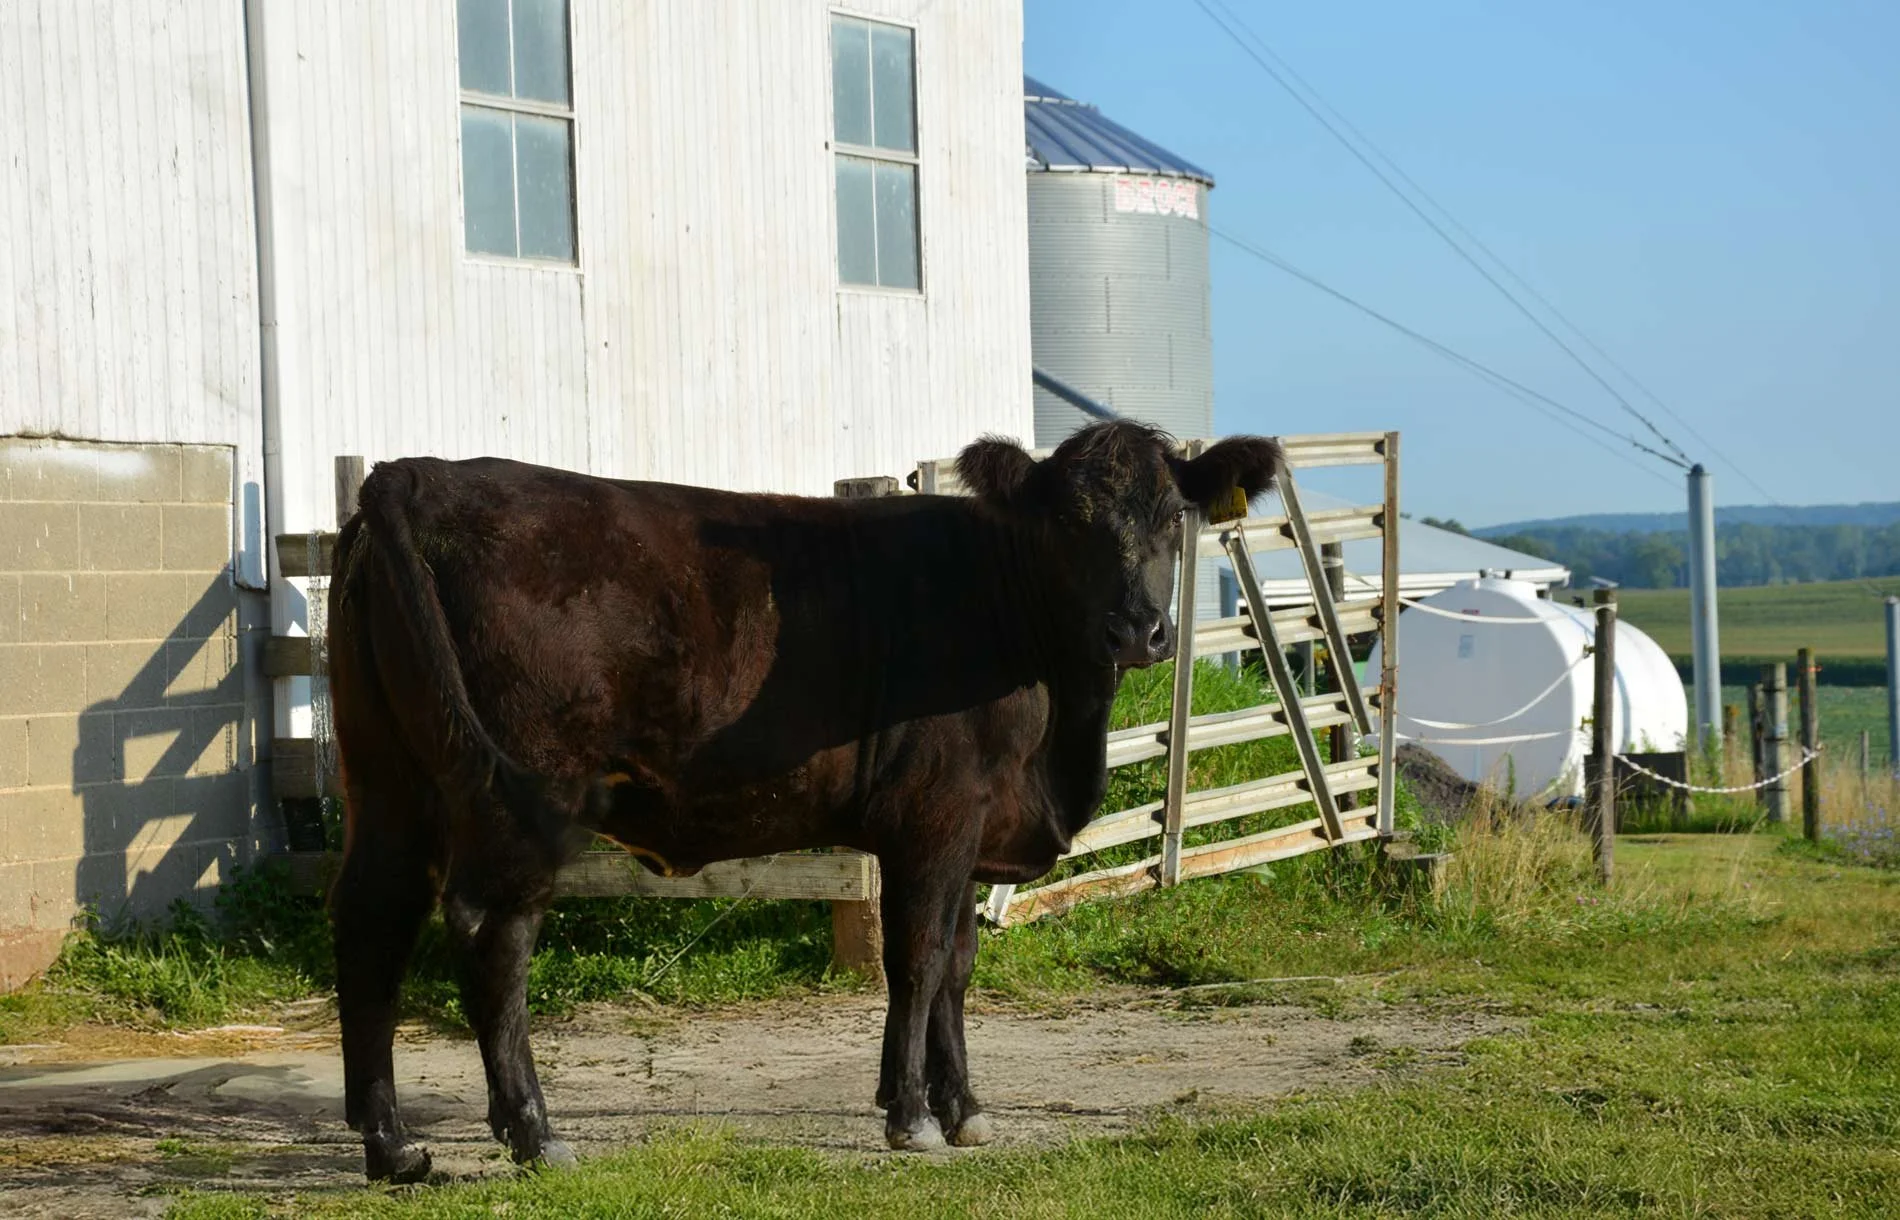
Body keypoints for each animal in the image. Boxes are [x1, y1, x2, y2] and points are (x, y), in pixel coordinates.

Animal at [323, 419, 1284, 1182]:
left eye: (1172, 517)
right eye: (1070, 523)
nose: (1138, 630)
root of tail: (415, 473)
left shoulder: (973, 825)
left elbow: (959, 966)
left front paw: (963, 1107)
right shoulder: (935, 815)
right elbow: (919, 961)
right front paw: (913, 1118)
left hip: (386, 779)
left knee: (372, 922)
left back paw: (392, 1147)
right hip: (522, 789)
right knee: (494, 935)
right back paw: (534, 1133)